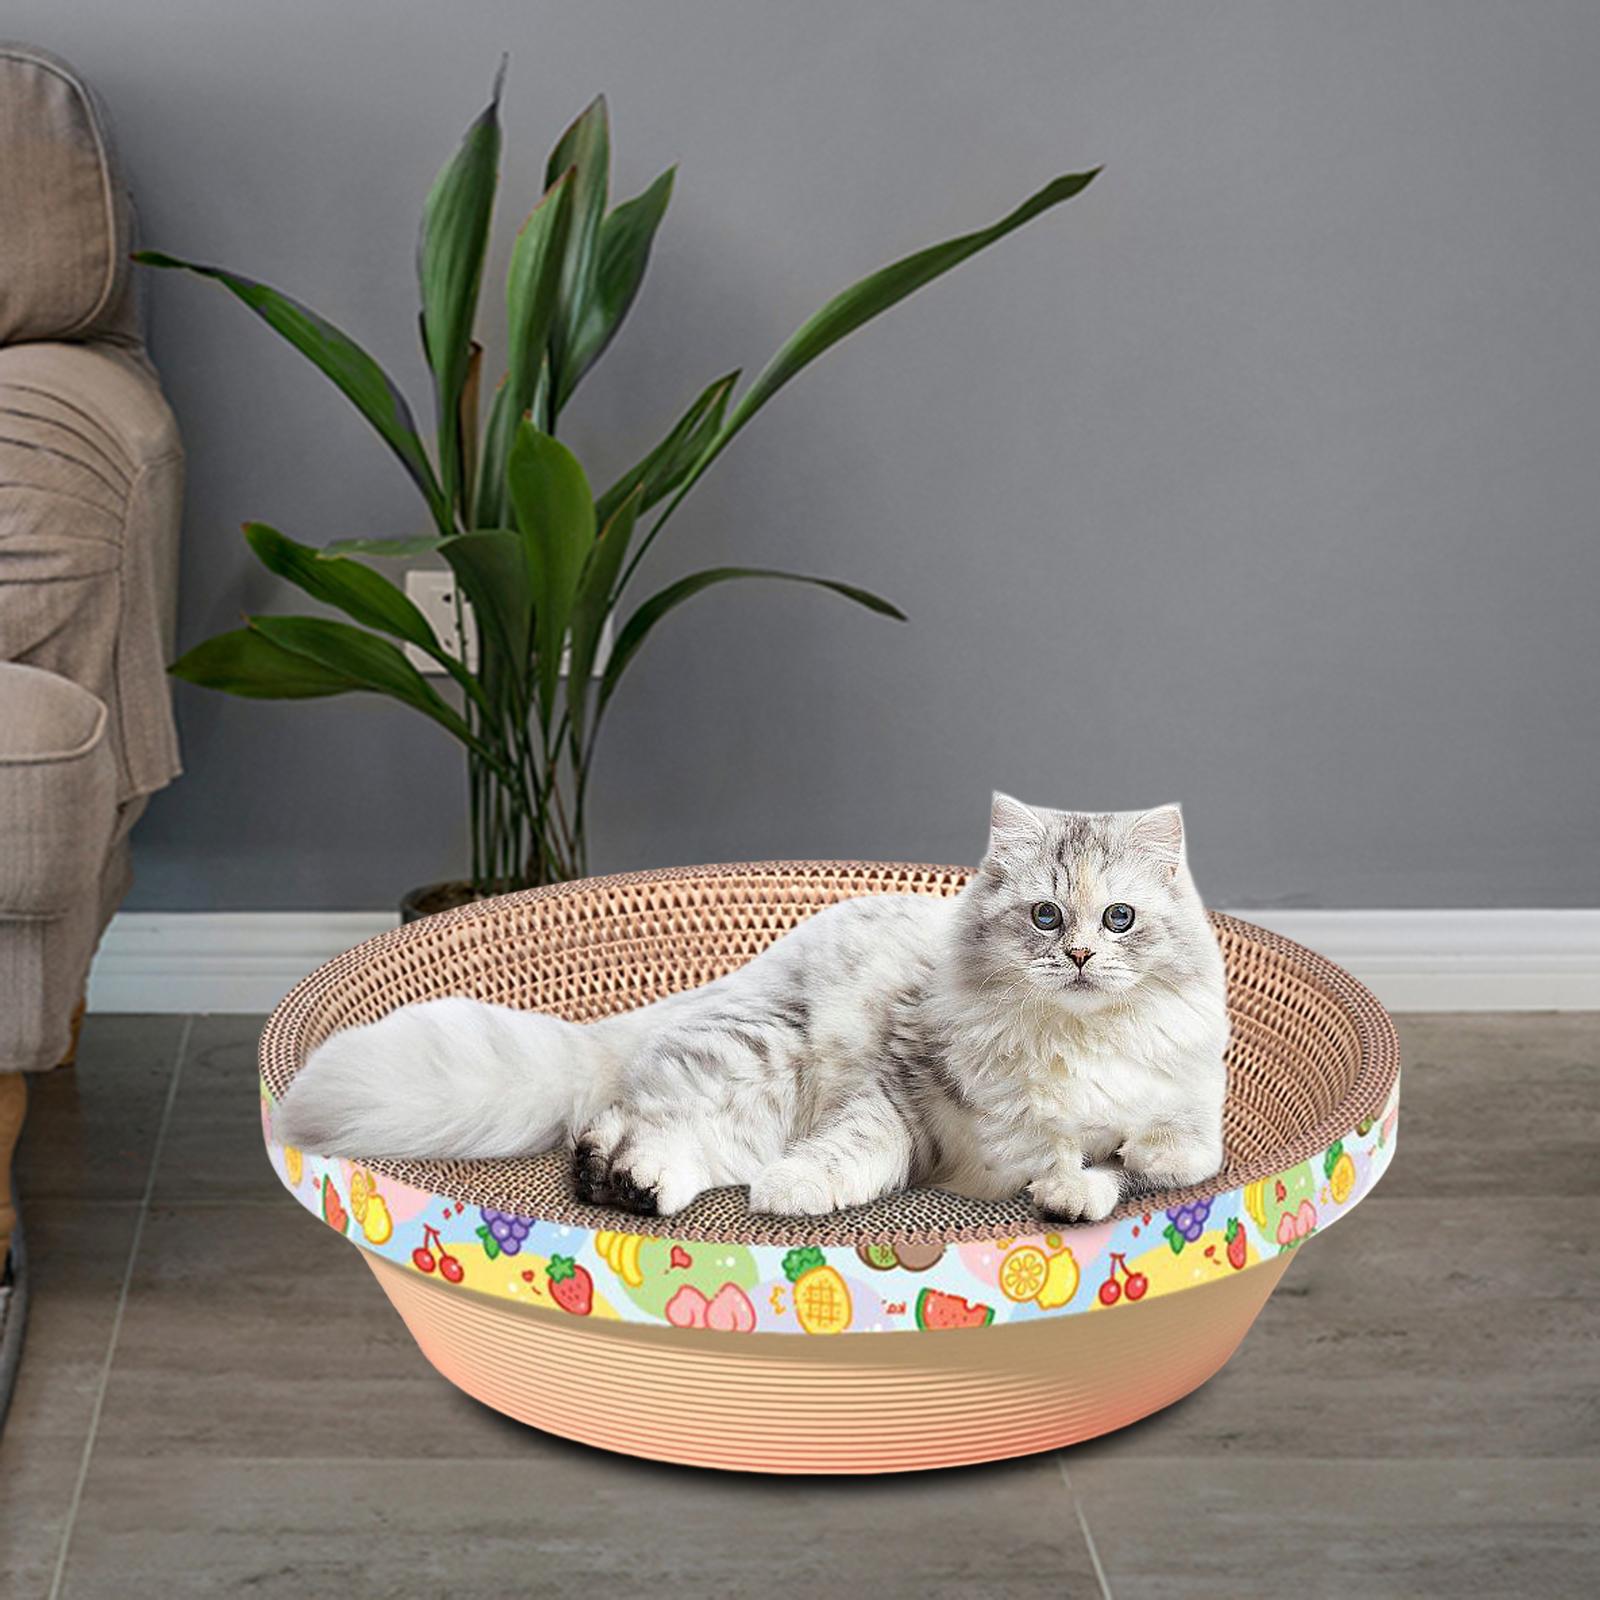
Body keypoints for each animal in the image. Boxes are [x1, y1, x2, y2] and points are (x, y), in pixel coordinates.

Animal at [275, 795, 1230, 1223]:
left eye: (1118, 919)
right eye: (1045, 917)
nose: (1080, 957)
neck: (1069, 1040)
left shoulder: (1189, 1128)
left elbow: (1150, 1159)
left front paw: (1074, 1191)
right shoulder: (901, 1094)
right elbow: (861, 1153)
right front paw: (793, 1191)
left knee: (653, 1143)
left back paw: (631, 1185)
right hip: (762, 1057)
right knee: (625, 1120)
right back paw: (620, 1176)